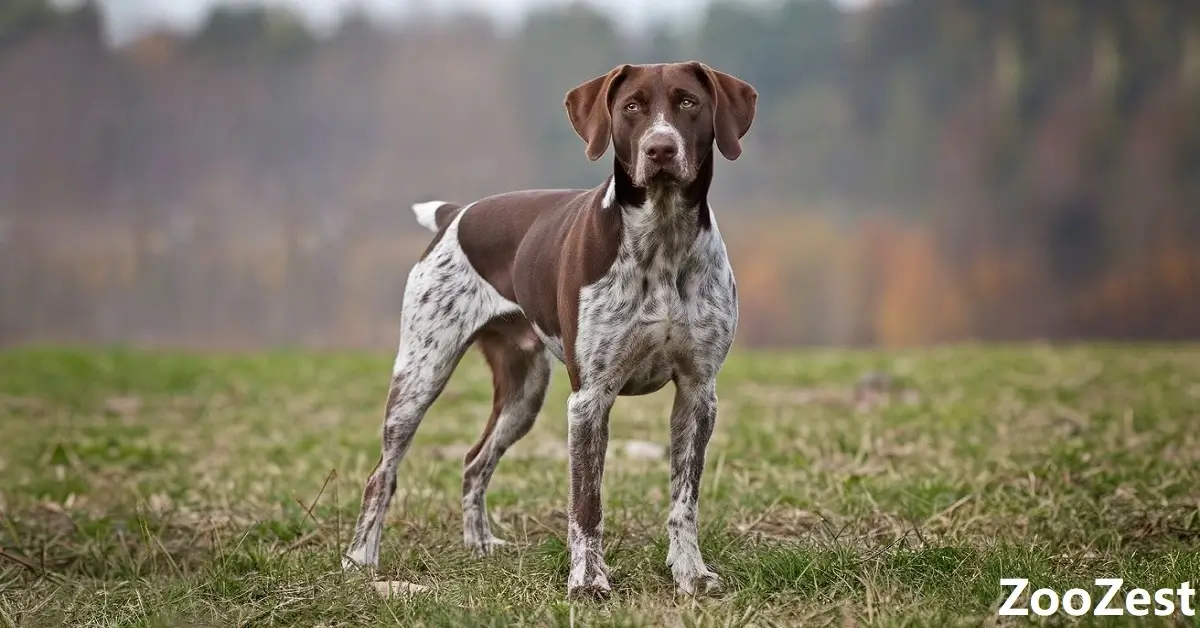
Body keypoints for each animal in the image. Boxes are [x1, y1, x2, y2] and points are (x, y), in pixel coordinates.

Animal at [343, 63, 753, 600]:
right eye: (632, 107)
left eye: (689, 103)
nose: (660, 150)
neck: (662, 241)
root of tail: (457, 213)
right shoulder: (590, 400)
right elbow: (586, 507)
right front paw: (587, 582)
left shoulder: (698, 392)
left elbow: (684, 501)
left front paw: (690, 574)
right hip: (420, 374)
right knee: (382, 474)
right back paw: (360, 558)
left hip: (524, 392)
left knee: (474, 462)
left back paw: (480, 544)